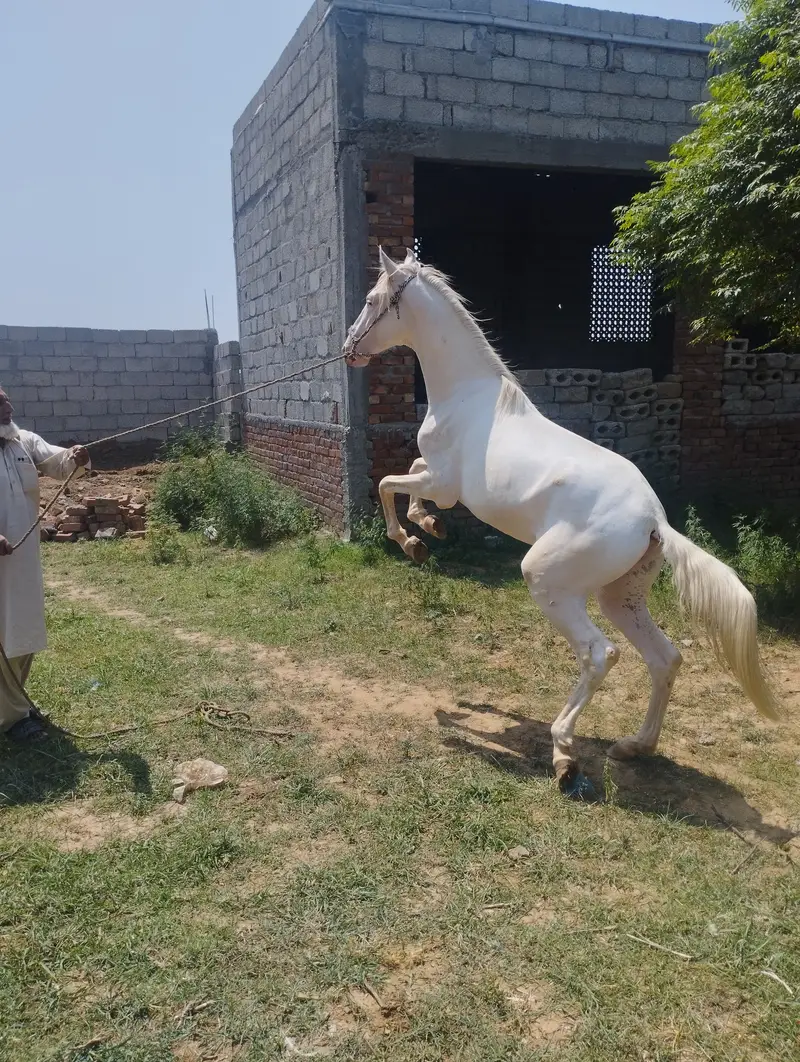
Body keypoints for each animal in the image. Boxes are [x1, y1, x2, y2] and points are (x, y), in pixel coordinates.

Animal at [343, 247, 781, 799]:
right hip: (621, 597)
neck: (466, 395)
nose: (348, 349)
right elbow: (406, 483)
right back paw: (635, 746)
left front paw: (411, 541)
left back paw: (564, 756)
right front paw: (429, 530)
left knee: (600, 654)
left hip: (548, 581)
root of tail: (655, 520)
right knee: (665, 658)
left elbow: (387, 485)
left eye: (370, 300)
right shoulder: (436, 479)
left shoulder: (442, 482)